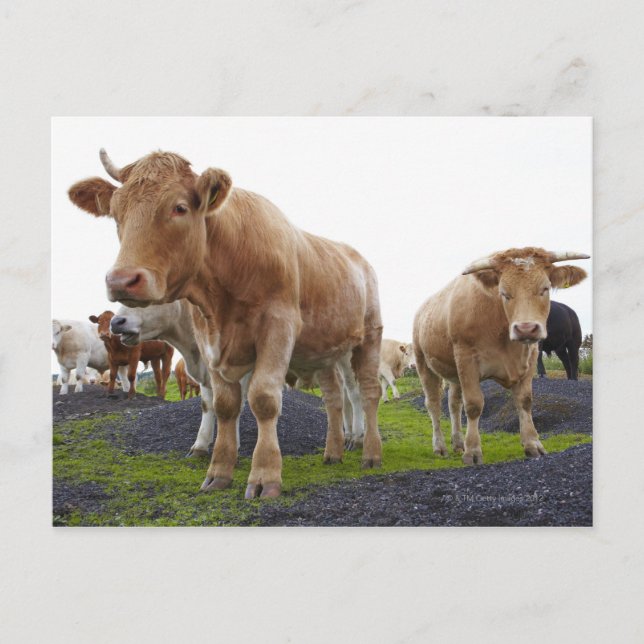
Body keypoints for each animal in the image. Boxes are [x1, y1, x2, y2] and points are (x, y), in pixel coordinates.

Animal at [69, 149, 383, 499]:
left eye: (179, 207)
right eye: (115, 213)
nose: (121, 281)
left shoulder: (278, 327)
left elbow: (263, 399)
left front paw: (264, 475)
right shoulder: (210, 342)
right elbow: (224, 406)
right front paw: (218, 471)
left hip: (368, 337)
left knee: (367, 392)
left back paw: (370, 453)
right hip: (324, 352)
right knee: (333, 399)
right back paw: (333, 453)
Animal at [413, 247, 589, 465]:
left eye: (545, 288)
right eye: (504, 293)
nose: (526, 328)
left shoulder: (530, 356)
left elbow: (525, 401)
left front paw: (533, 444)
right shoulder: (466, 359)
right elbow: (474, 404)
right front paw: (473, 451)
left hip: (454, 372)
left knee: (453, 403)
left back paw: (458, 443)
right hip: (424, 363)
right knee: (433, 404)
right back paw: (440, 446)